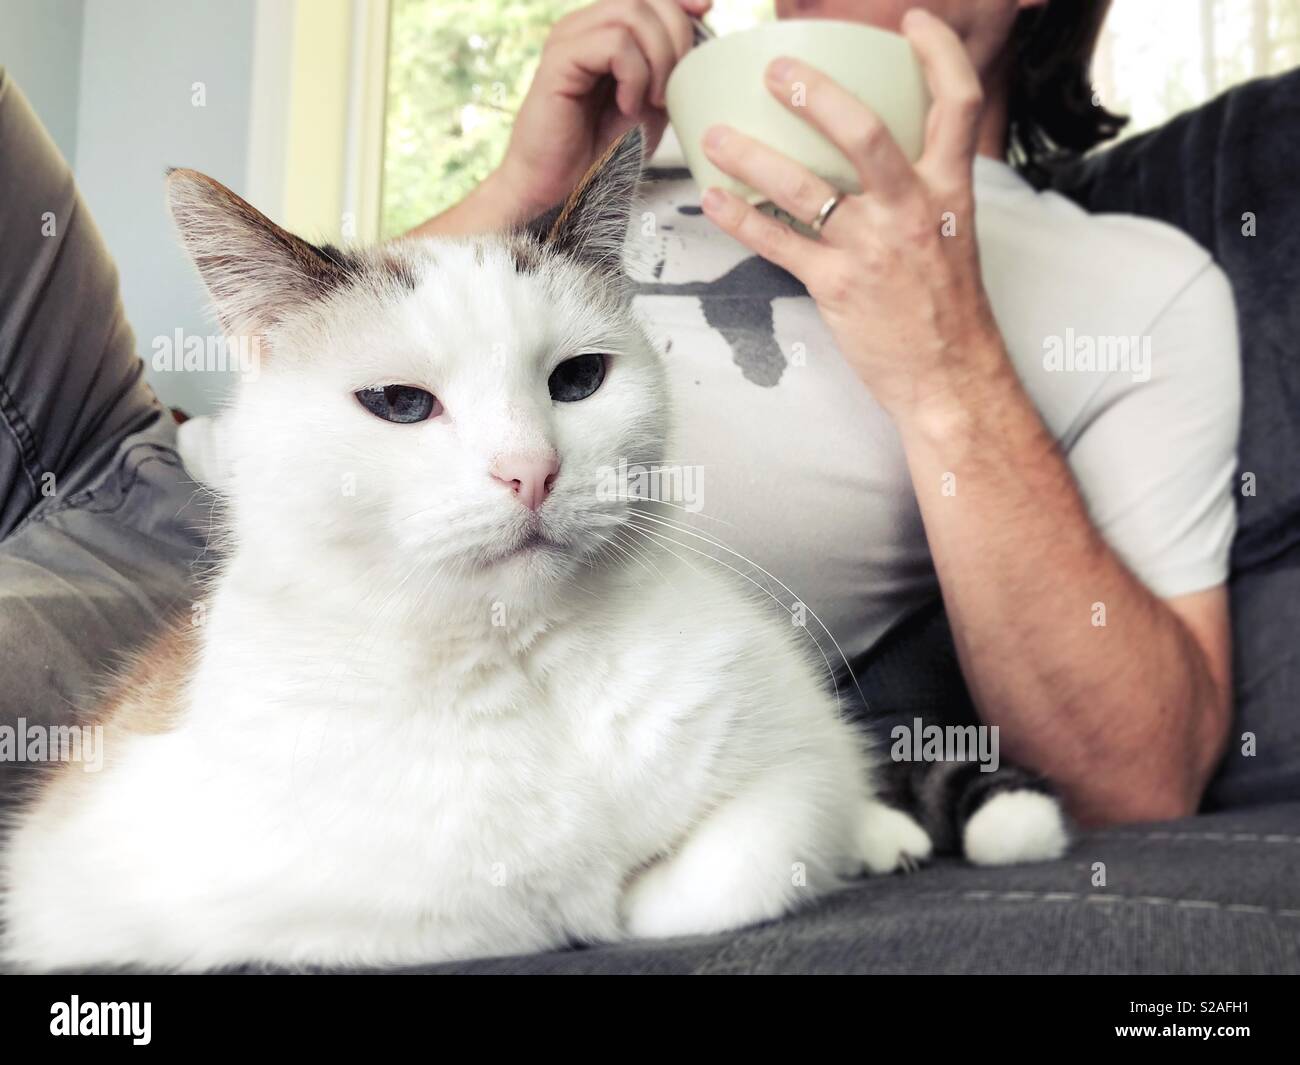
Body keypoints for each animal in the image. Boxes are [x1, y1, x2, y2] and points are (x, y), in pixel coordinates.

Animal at [2, 129, 935, 972]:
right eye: (400, 403)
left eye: (578, 379)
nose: (532, 470)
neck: (522, 663)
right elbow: (530, 904)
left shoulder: (793, 752)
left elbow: (747, 855)